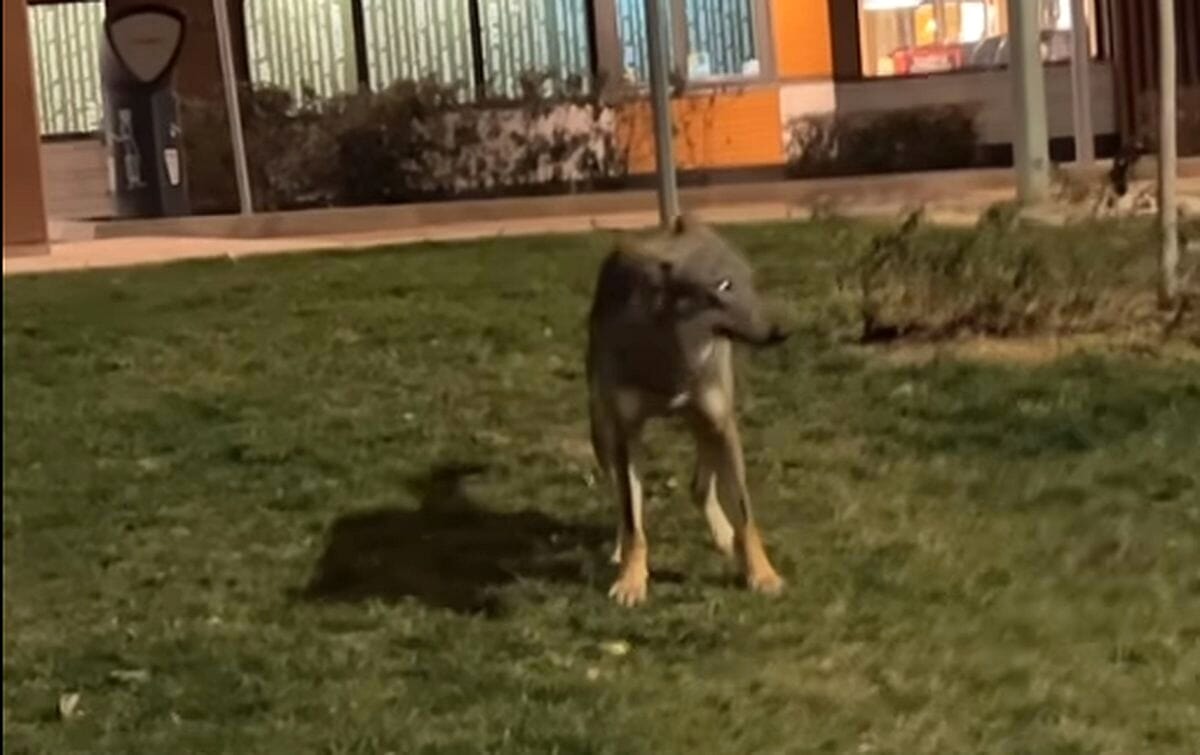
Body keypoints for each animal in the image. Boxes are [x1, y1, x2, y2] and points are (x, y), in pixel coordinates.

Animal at [586, 214, 788, 606]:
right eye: (723, 286)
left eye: (749, 281)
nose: (780, 331)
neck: (671, 359)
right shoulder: (626, 434)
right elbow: (633, 522)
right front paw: (631, 581)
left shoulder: (722, 423)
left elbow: (746, 517)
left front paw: (762, 575)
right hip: (603, 432)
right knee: (622, 500)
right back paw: (619, 549)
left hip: (708, 423)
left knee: (698, 486)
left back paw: (724, 537)